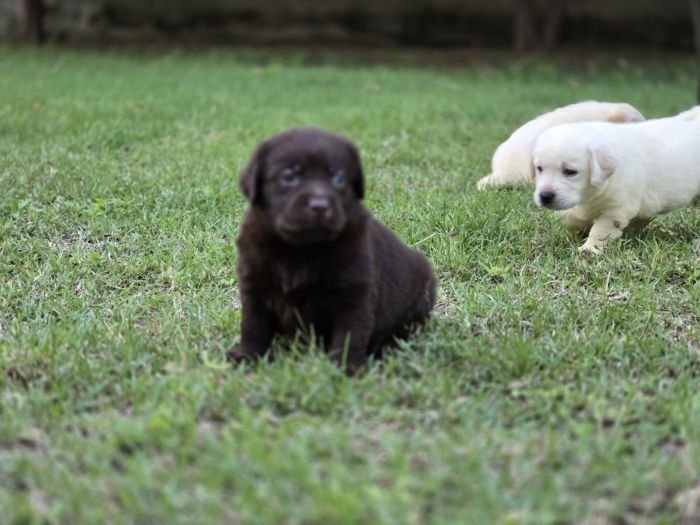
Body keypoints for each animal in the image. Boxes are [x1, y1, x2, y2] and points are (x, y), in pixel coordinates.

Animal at [230, 127, 438, 372]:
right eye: (288, 177)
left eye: (339, 179)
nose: (320, 206)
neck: (301, 250)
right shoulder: (255, 285)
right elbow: (252, 325)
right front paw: (247, 355)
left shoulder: (354, 292)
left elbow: (351, 334)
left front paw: (345, 368)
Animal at [532, 117, 700, 253]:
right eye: (539, 168)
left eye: (570, 171)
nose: (545, 196)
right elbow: (573, 218)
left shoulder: (615, 209)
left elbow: (600, 230)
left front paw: (589, 249)